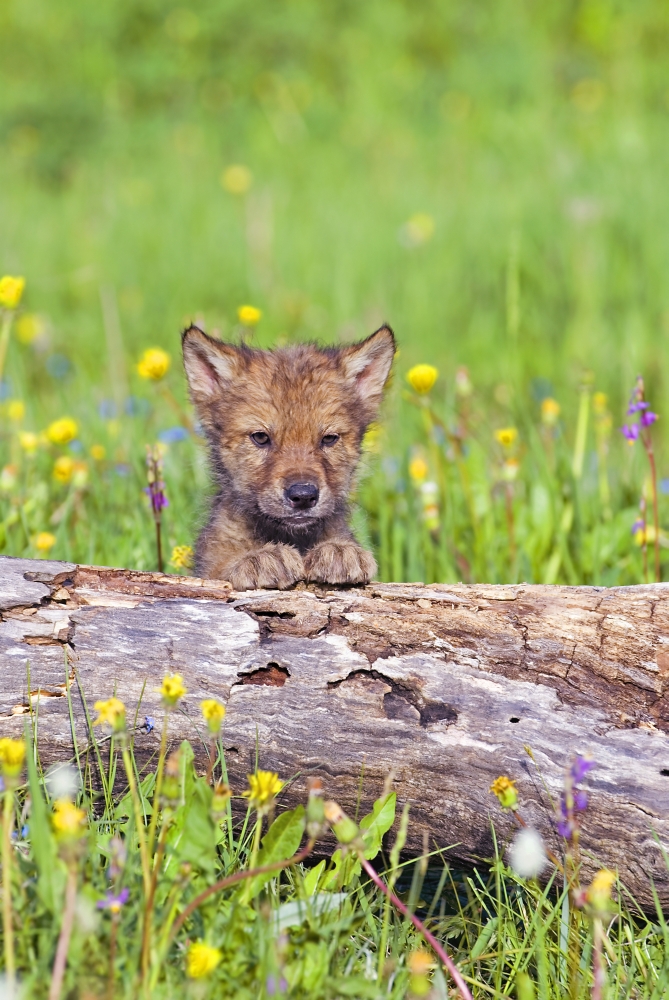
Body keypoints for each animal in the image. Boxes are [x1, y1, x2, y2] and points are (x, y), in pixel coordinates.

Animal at [181, 324, 396, 590]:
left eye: (329, 439)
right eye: (261, 437)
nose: (303, 496)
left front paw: (339, 551)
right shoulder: (208, 567)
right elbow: (222, 568)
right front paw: (260, 558)